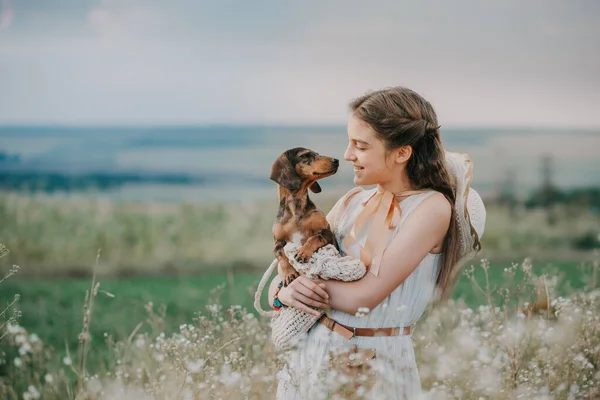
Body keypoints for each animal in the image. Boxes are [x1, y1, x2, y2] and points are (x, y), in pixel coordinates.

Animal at [270, 148, 340, 286]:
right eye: (304, 155)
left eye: (317, 154)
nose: (336, 161)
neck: (296, 211)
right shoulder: (277, 242)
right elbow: (282, 256)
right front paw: (289, 274)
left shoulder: (326, 232)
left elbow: (314, 238)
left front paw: (303, 252)